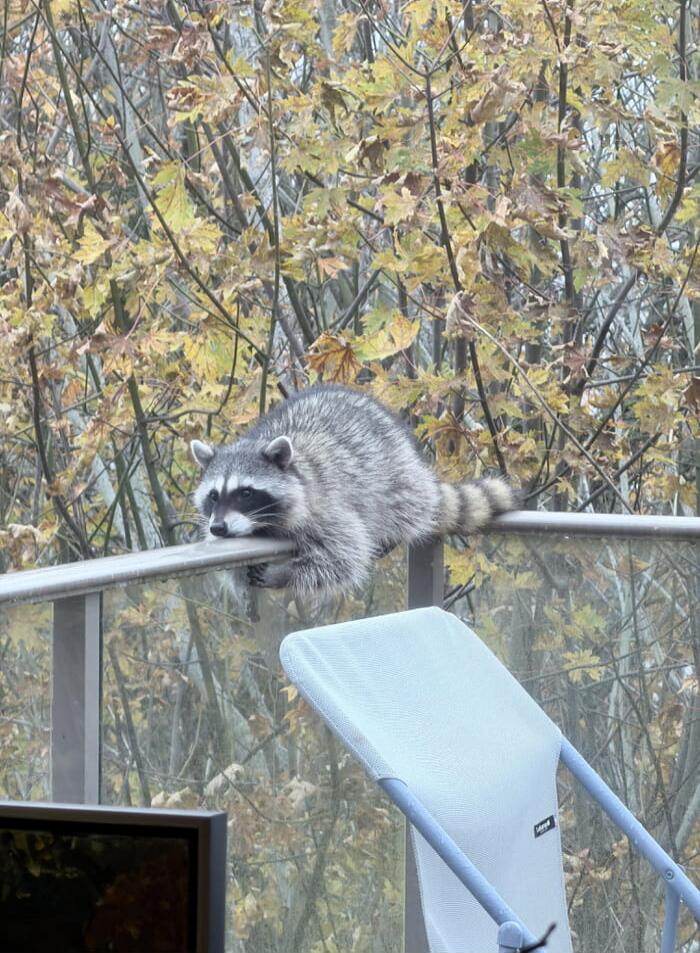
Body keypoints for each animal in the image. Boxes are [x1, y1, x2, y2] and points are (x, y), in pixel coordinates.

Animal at [191, 384, 517, 598]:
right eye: (213, 496)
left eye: (245, 493)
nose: (219, 527)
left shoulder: (325, 508)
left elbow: (344, 557)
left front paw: (284, 574)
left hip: (395, 475)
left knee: (401, 506)